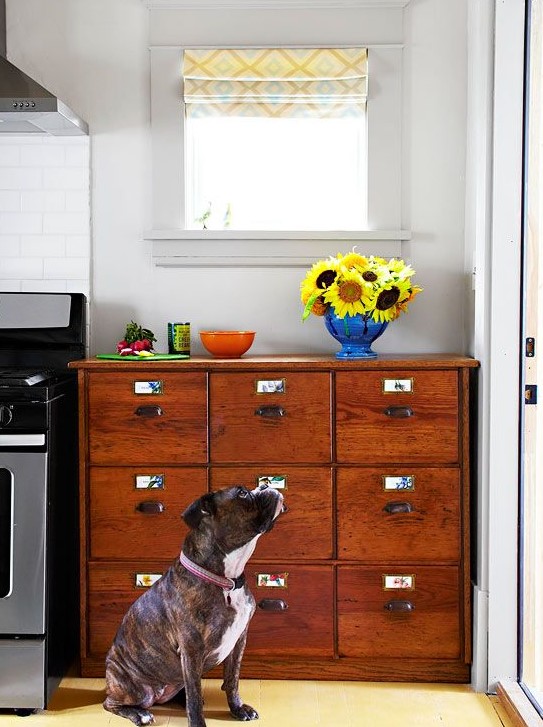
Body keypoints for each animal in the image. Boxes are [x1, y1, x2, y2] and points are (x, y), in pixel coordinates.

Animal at [101, 484, 284, 727]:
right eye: (242, 493)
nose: (265, 484)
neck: (226, 581)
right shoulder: (191, 649)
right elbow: (195, 696)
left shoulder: (239, 641)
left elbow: (232, 679)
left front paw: (237, 708)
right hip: (133, 688)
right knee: (112, 703)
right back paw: (139, 714)